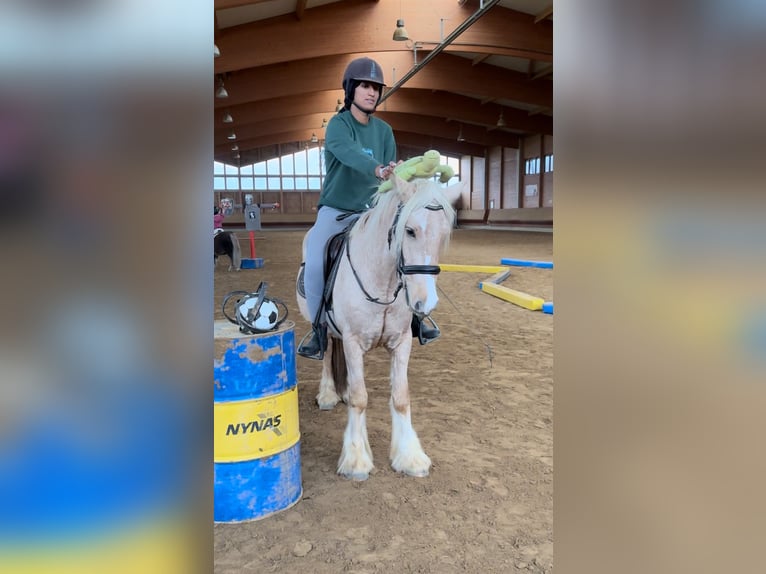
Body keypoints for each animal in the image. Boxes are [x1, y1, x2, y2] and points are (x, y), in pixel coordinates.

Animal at [296, 176, 464, 482]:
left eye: (444, 234)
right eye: (409, 230)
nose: (425, 302)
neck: (382, 280)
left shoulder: (401, 342)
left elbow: (400, 397)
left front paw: (410, 457)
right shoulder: (352, 342)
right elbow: (360, 398)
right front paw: (356, 460)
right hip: (325, 329)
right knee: (326, 352)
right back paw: (328, 394)